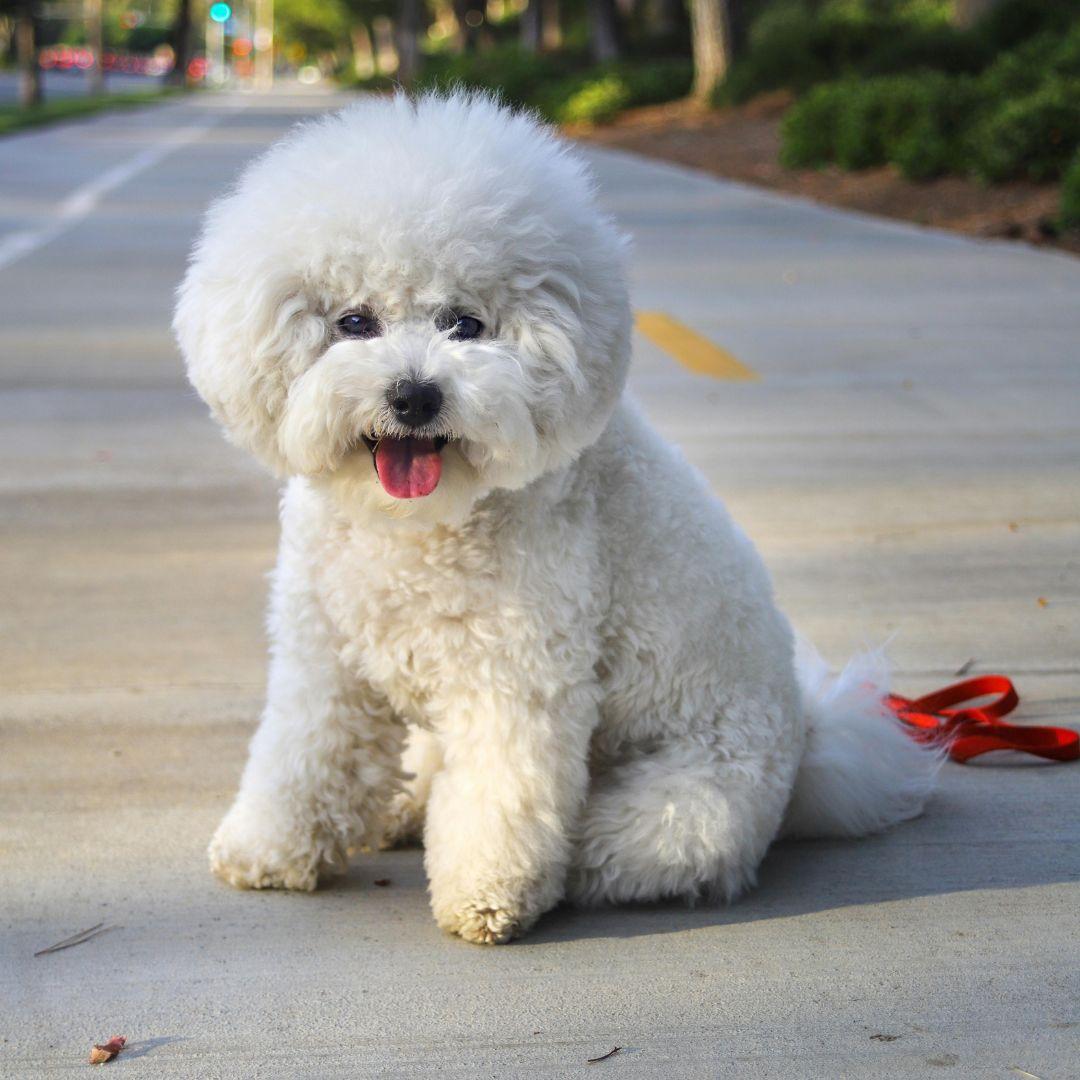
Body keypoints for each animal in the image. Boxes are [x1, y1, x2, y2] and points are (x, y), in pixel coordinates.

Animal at [170, 92, 937, 941]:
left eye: (465, 324)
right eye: (354, 322)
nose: (414, 396)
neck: (420, 527)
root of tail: (807, 749)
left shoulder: (517, 674)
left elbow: (501, 793)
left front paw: (484, 894)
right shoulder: (324, 657)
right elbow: (302, 755)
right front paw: (269, 851)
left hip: (683, 809)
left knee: (616, 848)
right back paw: (404, 806)